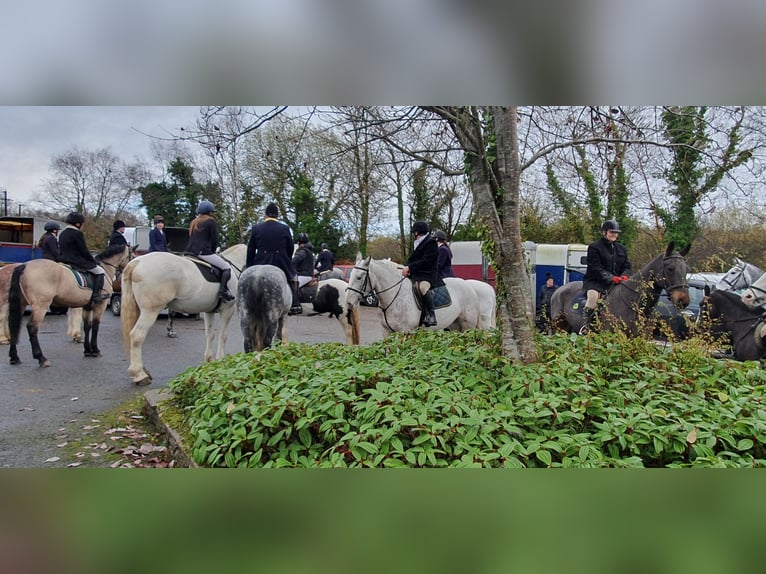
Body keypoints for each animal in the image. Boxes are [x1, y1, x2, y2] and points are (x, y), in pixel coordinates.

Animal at [120, 244, 246, 388]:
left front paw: (210, 360)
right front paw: (220, 360)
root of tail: (137, 262)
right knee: (137, 336)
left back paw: (143, 371)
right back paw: (140, 375)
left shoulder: (209, 311)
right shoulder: (227, 310)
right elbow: (223, 335)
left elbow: (210, 334)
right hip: (150, 311)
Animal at [344, 258, 476, 336]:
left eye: (359, 277)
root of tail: (468, 285)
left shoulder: (405, 332)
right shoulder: (386, 331)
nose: (348, 303)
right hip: (455, 325)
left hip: (468, 326)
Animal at [548, 243, 692, 338]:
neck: (633, 302)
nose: (683, 300)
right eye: (670, 269)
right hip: (559, 326)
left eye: (686, 269)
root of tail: (560, 289)